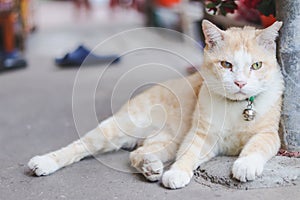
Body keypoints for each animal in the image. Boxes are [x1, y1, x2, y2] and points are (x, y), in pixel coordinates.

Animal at [28, 19, 284, 189]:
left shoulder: (270, 134)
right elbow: (189, 153)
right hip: (116, 129)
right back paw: (43, 162)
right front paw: (177, 173)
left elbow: (256, 146)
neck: (237, 106)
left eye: (256, 66)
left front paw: (245, 165)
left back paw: (150, 166)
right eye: (226, 65)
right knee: (79, 146)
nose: (240, 83)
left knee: (136, 153)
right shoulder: (201, 135)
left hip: (166, 141)